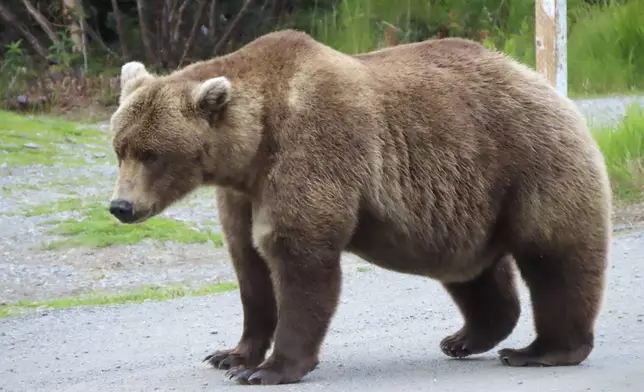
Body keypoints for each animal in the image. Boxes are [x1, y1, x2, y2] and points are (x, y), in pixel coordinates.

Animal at [108, 29, 612, 384]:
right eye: (120, 148)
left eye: (152, 154)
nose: (120, 206)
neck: (253, 146)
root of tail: (541, 81)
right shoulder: (241, 194)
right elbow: (249, 266)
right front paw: (230, 353)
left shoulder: (312, 150)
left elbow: (298, 258)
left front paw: (268, 368)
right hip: (466, 206)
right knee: (473, 271)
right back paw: (464, 338)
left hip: (529, 163)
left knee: (555, 257)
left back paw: (541, 350)